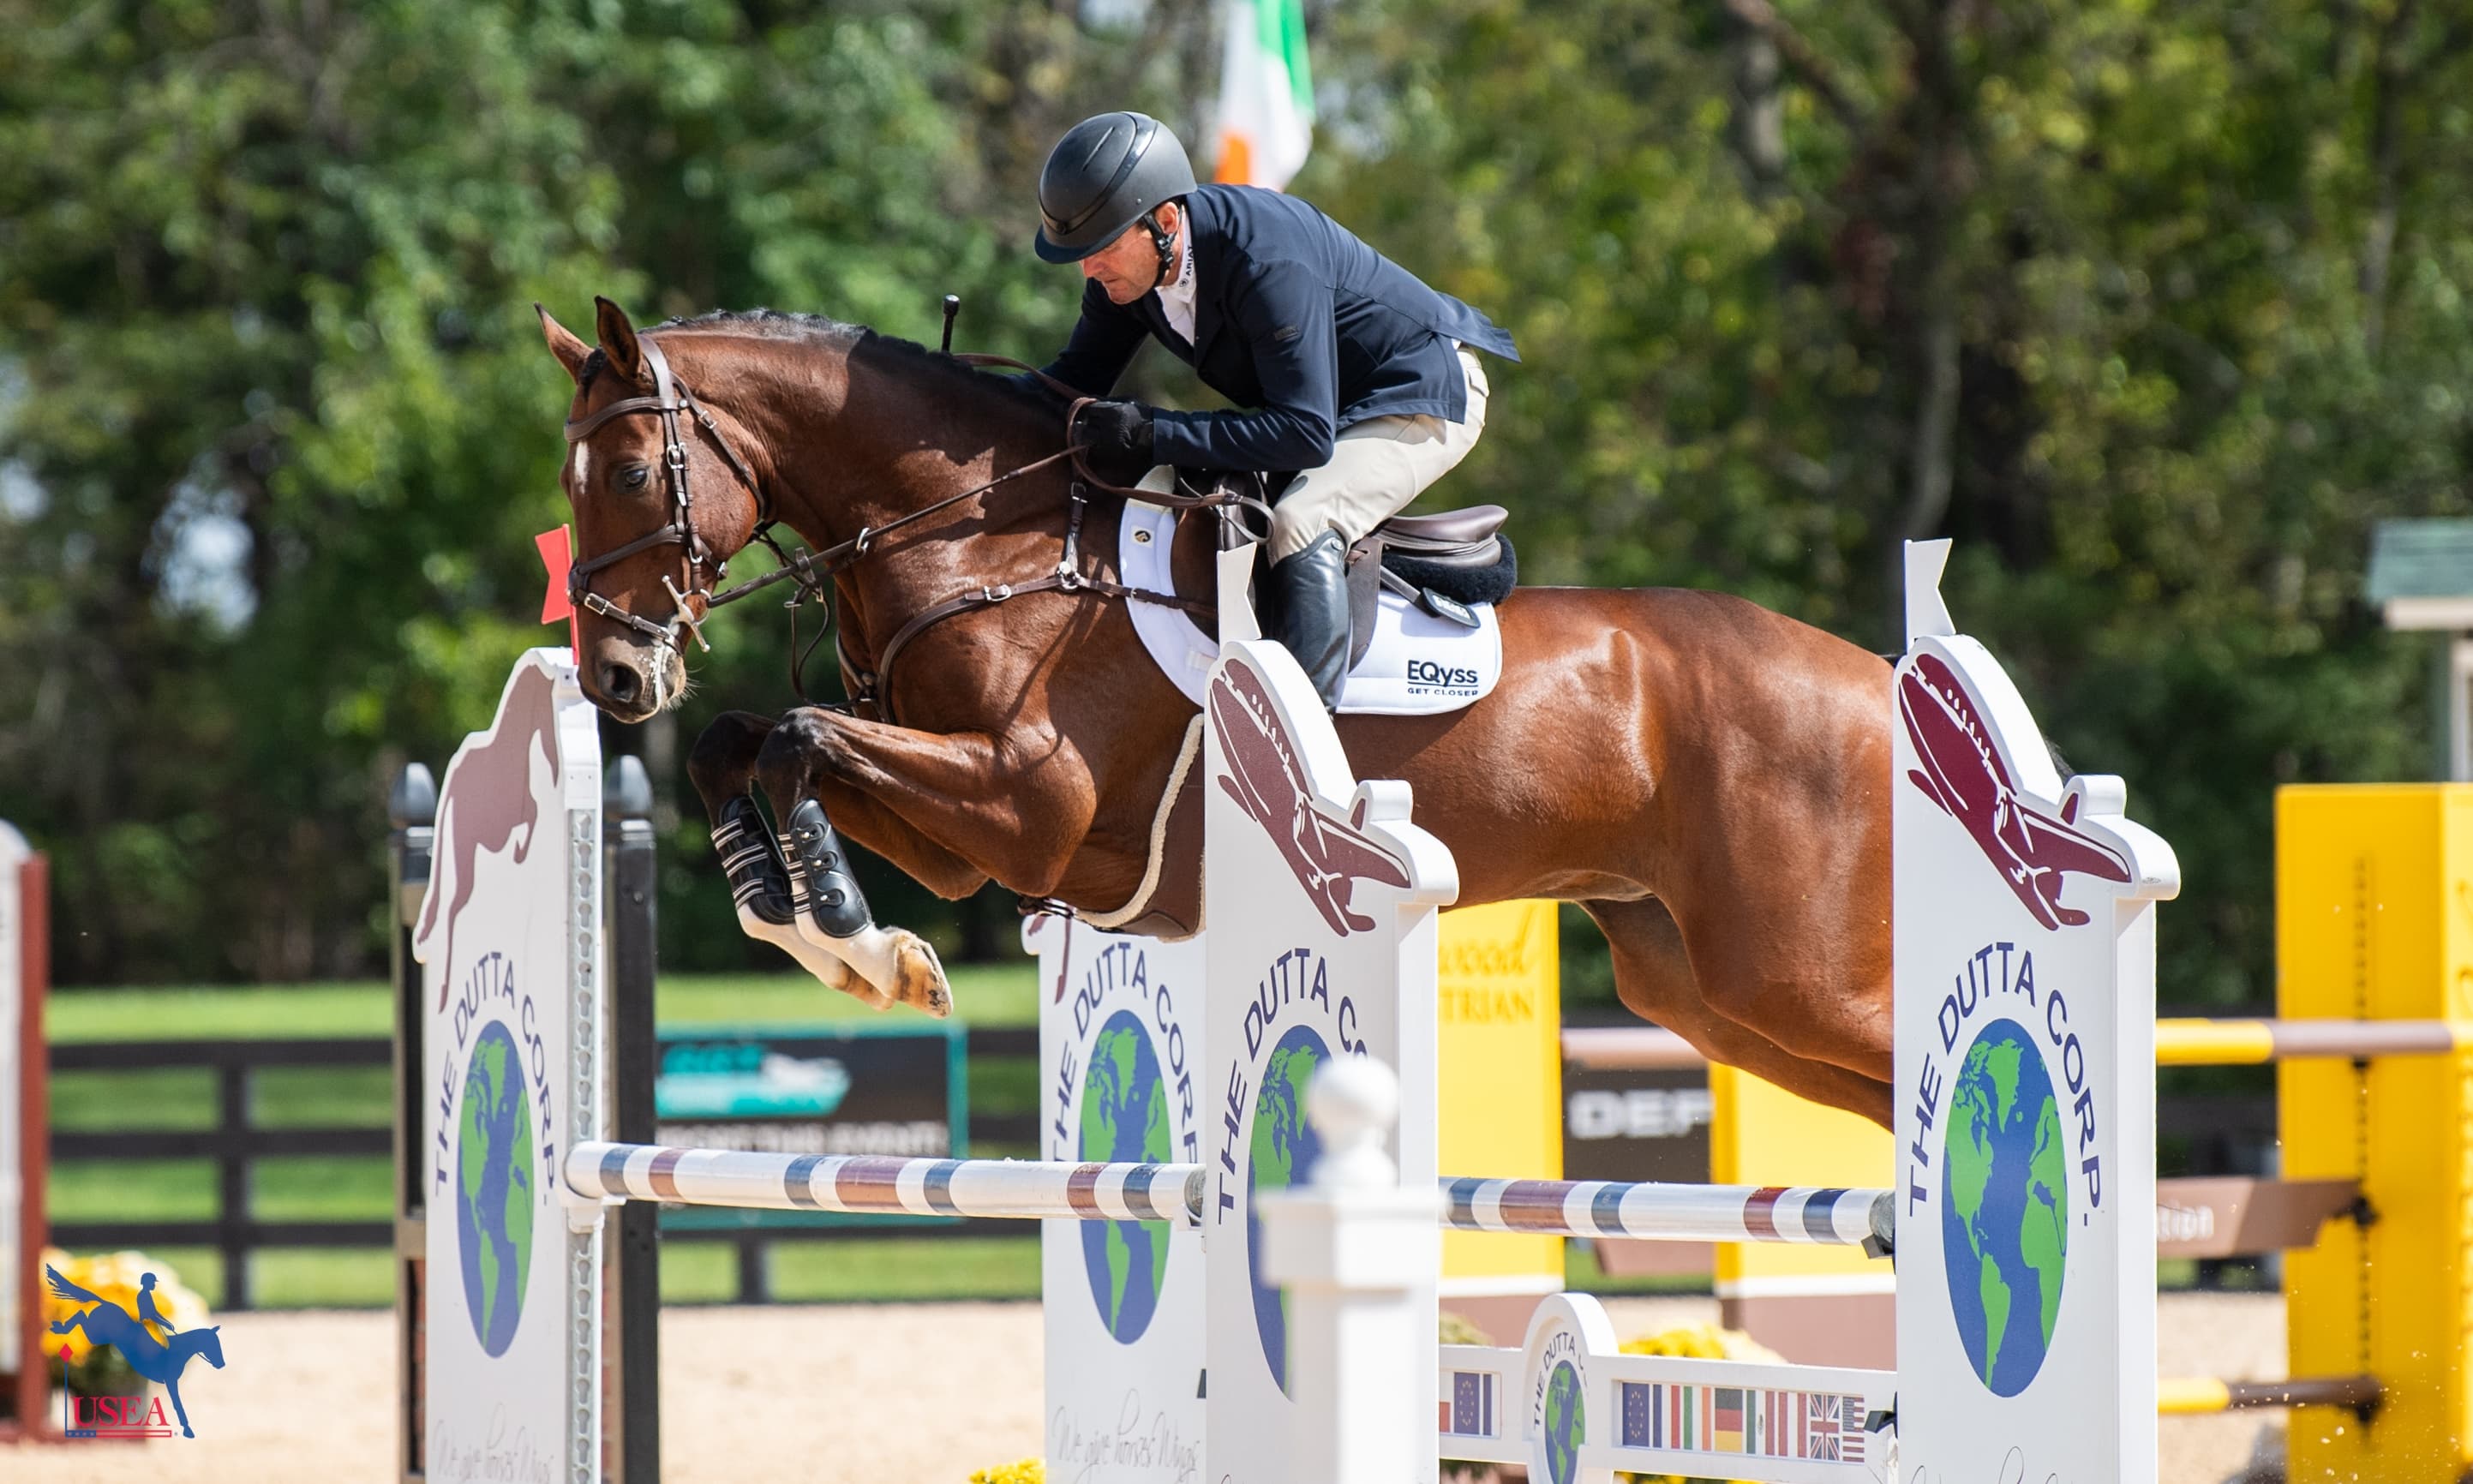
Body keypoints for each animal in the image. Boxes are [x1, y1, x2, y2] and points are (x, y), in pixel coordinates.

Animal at [45, 1268, 226, 1438]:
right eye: (213, 1345)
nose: (221, 1364)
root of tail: (105, 1302)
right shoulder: (170, 1381)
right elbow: (178, 1405)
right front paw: (187, 1430)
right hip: (95, 1336)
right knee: (81, 1316)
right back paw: (61, 1328)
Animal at [538, 297, 1898, 1126]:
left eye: (626, 472)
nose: (615, 680)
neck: (984, 541)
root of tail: (1878, 684)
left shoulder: (1023, 805)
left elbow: (798, 739)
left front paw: (866, 951)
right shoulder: (976, 837)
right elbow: (744, 745)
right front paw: (812, 927)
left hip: (1792, 980)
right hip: (1704, 992)